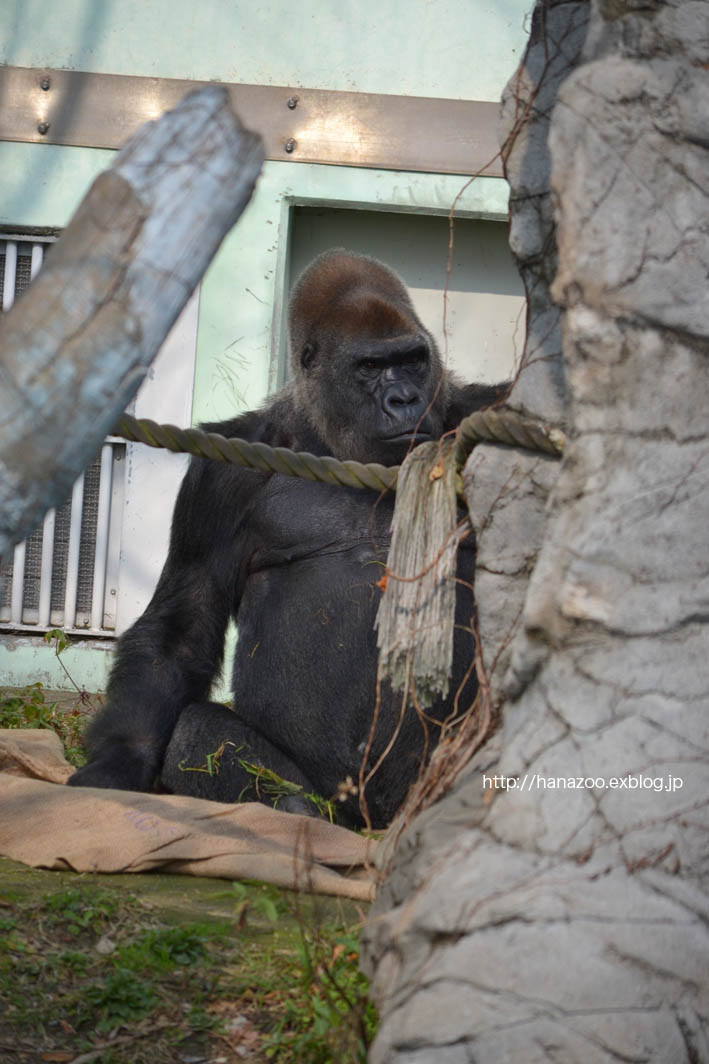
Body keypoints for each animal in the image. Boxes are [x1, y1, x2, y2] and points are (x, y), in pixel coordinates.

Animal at [69, 251, 502, 829]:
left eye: (412, 360)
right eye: (369, 368)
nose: (406, 399)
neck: (329, 438)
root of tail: (370, 825)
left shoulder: (473, 410)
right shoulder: (222, 473)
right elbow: (183, 624)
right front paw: (117, 762)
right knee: (198, 737)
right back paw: (296, 810)